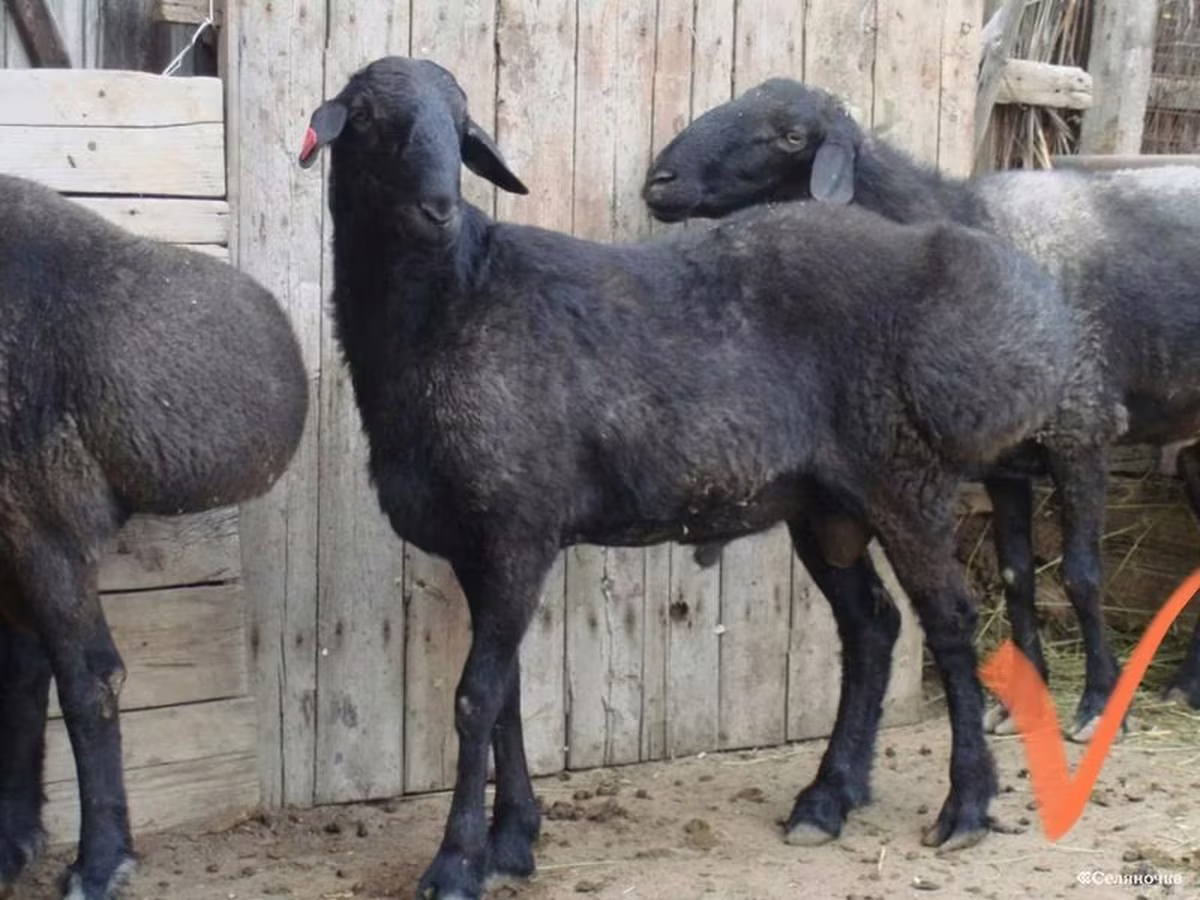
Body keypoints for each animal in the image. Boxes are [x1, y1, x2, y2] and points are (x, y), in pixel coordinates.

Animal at [298, 56, 1079, 899]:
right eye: (368, 117)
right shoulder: (478, 545)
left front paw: (457, 862)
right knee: (872, 626)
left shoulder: (517, 527)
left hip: (906, 477)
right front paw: (511, 843)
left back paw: (964, 806)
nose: (438, 210)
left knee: (950, 623)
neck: (450, 303)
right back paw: (827, 798)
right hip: (825, 504)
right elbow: (504, 694)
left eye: (460, 124)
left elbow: (476, 698)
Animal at [642, 77, 1200, 743]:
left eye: (792, 137)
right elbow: (1016, 579)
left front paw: (1097, 707)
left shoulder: (1081, 428)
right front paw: (1017, 705)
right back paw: (1185, 686)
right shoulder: (1005, 463)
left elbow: (1083, 575)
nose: (659, 181)